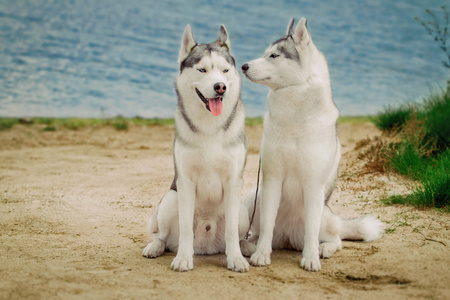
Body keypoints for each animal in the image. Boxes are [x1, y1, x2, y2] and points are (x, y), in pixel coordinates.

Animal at [143, 25, 255, 272]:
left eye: (224, 70)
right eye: (202, 70)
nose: (220, 86)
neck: (210, 127)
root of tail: (207, 246)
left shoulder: (233, 181)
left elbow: (232, 231)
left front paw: (235, 259)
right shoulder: (185, 182)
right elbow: (185, 228)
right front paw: (183, 258)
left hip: (242, 211)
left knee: (238, 233)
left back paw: (246, 247)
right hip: (170, 199)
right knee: (162, 235)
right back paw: (155, 247)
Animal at [241, 18, 384, 272]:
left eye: (274, 55)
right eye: (265, 53)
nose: (244, 66)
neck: (293, 117)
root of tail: (287, 238)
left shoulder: (313, 184)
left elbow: (311, 229)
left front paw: (310, 259)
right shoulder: (272, 178)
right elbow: (267, 224)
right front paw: (261, 255)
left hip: (325, 215)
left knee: (334, 239)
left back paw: (324, 249)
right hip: (253, 197)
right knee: (258, 232)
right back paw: (250, 246)